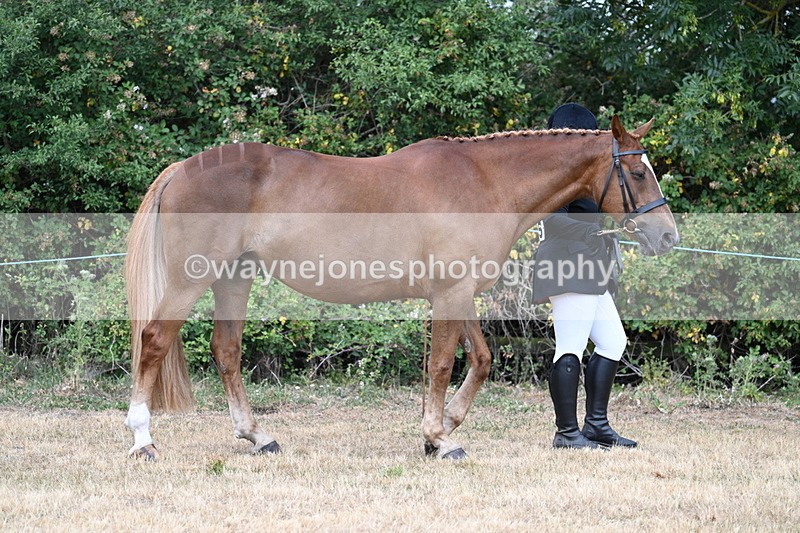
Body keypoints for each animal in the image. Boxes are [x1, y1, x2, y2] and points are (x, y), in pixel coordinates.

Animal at [124, 115, 678, 460]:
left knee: (226, 351)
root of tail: (182, 169)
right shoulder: (450, 295)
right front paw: (440, 439)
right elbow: (441, 365)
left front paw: (445, 428)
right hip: (191, 279)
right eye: (636, 172)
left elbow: (480, 360)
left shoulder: (458, 294)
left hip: (233, 279)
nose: (668, 235)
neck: (484, 183)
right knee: (154, 341)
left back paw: (258, 437)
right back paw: (142, 441)